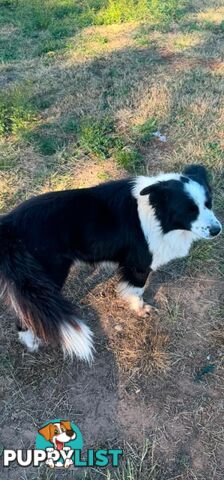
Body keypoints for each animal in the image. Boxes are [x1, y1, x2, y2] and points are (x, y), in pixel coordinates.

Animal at [0, 165, 220, 360]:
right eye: (189, 210)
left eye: (209, 204)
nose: (217, 230)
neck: (157, 214)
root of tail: (9, 225)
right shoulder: (138, 265)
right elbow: (137, 290)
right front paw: (140, 309)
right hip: (44, 279)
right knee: (26, 313)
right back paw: (31, 343)